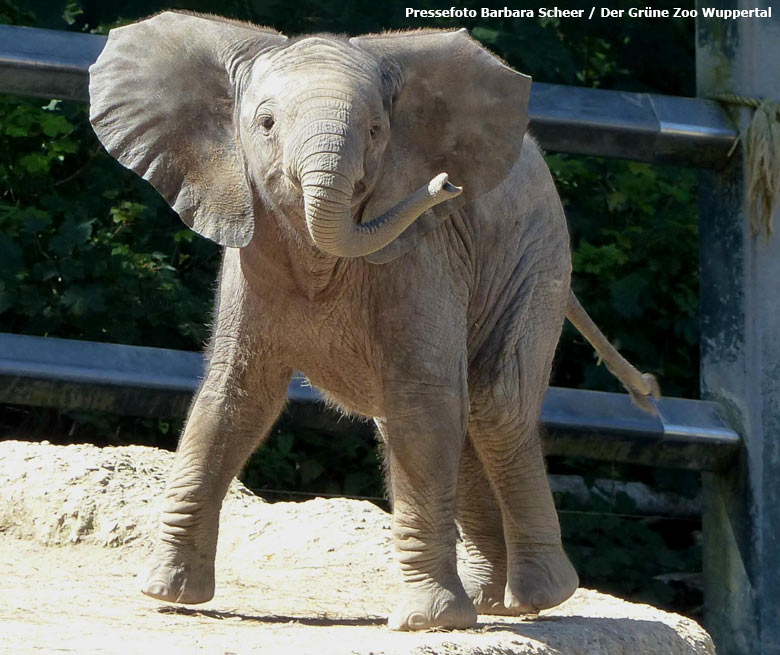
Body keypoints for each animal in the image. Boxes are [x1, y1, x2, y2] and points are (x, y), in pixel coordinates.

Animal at [87, 12, 660, 632]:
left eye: (377, 131)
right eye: (265, 124)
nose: (445, 186)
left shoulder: (425, 252)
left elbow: (421, 400)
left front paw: (427, 620)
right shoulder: (254, 248)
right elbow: (236, 396)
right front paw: (166, 592)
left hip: (538, 257)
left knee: (494, 403)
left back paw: (539, 597)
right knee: (462, 416)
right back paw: (489, 602)